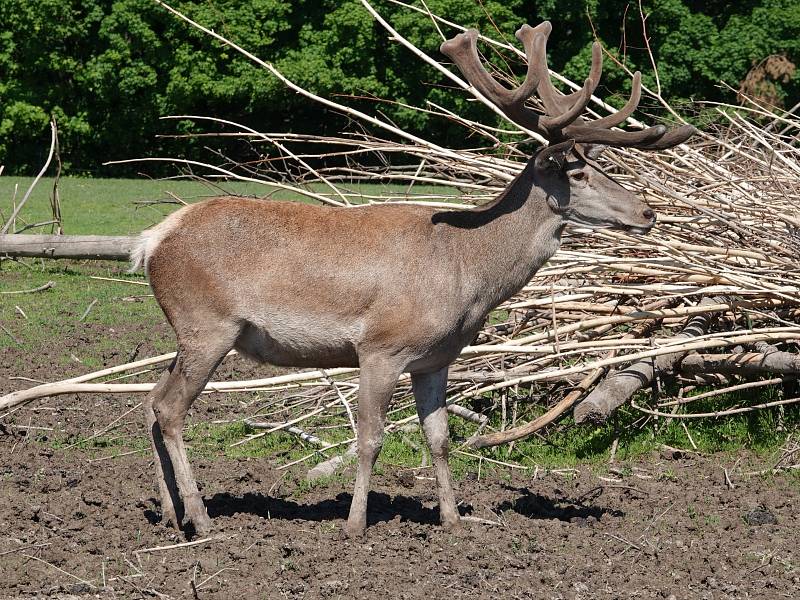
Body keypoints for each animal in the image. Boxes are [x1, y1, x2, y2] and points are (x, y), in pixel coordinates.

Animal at [131, 22, 692, 540]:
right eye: (577, 175)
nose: (648, 212)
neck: (466, 271)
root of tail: (152, 240)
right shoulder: (381, 346)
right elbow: (371, 437)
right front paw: (355, 524)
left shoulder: (435, 358)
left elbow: (439, 437)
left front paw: (453, 520)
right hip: (208, 323)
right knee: (171, 408)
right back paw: (201, 519)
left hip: (191, 331)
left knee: (152, 400)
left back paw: (170, 514)